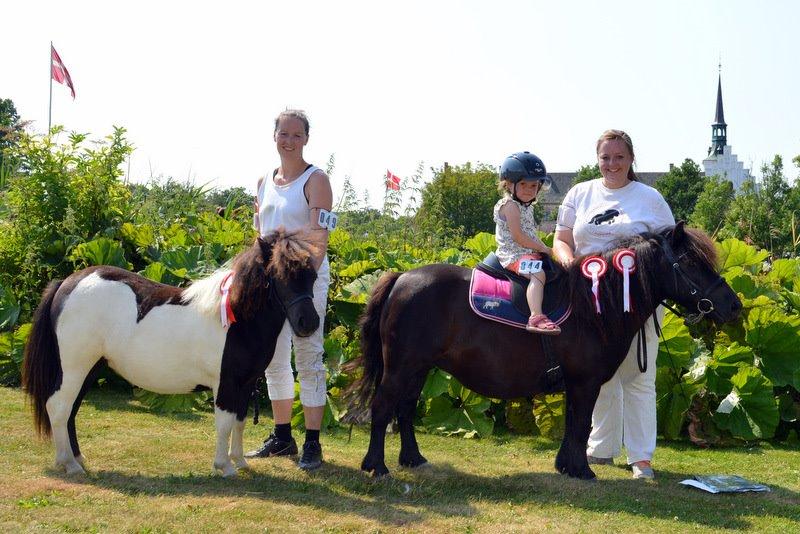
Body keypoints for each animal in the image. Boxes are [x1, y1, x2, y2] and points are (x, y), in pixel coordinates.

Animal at [21, 229, 318, 478]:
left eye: (312, 276)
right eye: (279, 275)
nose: (309, 323)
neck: (237, 318)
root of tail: (67, 283)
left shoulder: (244, 386)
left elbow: (239, 423)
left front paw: (240, 461)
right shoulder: (226, 385)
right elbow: (224, 423)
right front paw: (224, 466)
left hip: (89, 369)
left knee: (70, 411)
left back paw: (77, 459)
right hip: (74, 368)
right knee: (58, 407)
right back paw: (69, 464)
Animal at [354, 223, 740, 482]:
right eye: (691, 263)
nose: (734, 306)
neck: (592, 308)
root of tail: (401, 277)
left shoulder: (576, 384)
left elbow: (572, 424)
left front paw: (566, 466)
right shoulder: (585, 383)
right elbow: (581, 425)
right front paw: (582, 470)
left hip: (419, 369)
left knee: (405, 410)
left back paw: (413, 459)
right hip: (401, 367)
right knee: (383, 407)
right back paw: (377, 465)